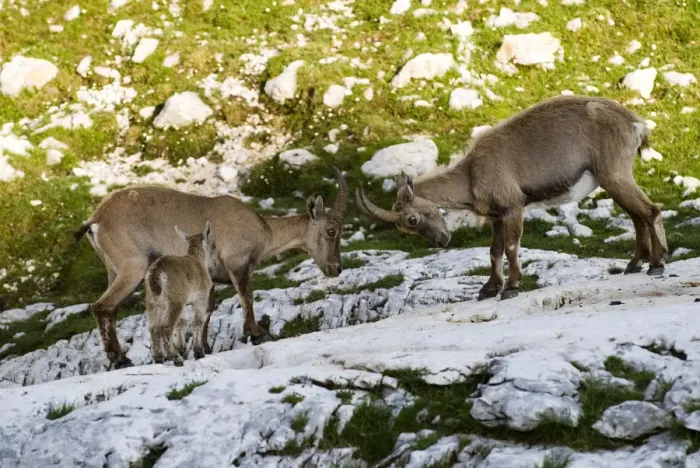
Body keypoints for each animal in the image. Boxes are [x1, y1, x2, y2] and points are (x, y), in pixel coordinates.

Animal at [145, 222, 214, 366]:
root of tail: (156, 273)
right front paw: (198, 352)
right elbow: (197, 321)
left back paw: (158, 358)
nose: (214, 261)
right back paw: (175, 358)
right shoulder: (201, 298)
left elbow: (181, 322)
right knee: (166, 327)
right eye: (212, 243)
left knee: (154, 327)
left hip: (153, 301)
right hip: (175, 299)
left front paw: (182, 349)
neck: (198, 261)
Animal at [357, 95, 667, 301]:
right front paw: (488, 288)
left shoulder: (513, 207)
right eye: (406, 225)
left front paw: (512, 287)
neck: (471, 173)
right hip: (614, 179)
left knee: (650, 210)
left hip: (614, 174)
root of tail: (636, 124)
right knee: (637, 215)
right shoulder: (496, 216)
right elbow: (493, 251)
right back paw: (634, 264)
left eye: (412, 218)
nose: (441, 241)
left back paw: (656, 263)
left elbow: (511, 247)